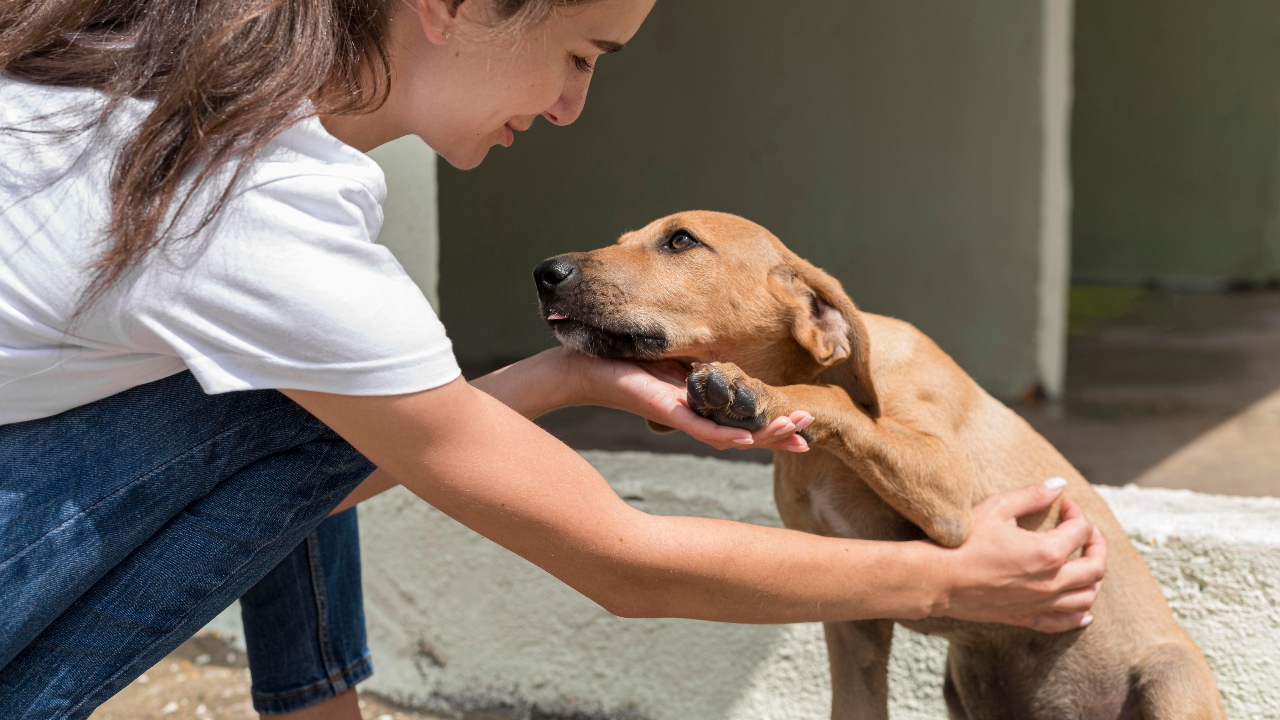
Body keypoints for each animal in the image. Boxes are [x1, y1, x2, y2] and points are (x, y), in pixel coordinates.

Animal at [532, 210, 1228, 712]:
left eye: (680, 241)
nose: (545, 271)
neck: (822, 461)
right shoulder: (852, 614)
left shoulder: (950, 497)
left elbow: (836, 399)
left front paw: (751, 392)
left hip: (1169, 678)